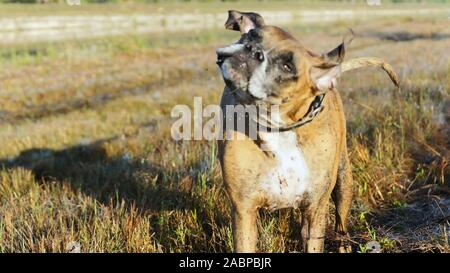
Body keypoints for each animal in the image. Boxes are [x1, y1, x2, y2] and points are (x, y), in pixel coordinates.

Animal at [216, 10, 400, 253]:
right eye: (251, 36)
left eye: (288, 67)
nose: (254, 52)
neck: (278, 129)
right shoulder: (243, 212)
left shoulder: (315, 211)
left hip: (343, 183)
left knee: (341, 228)